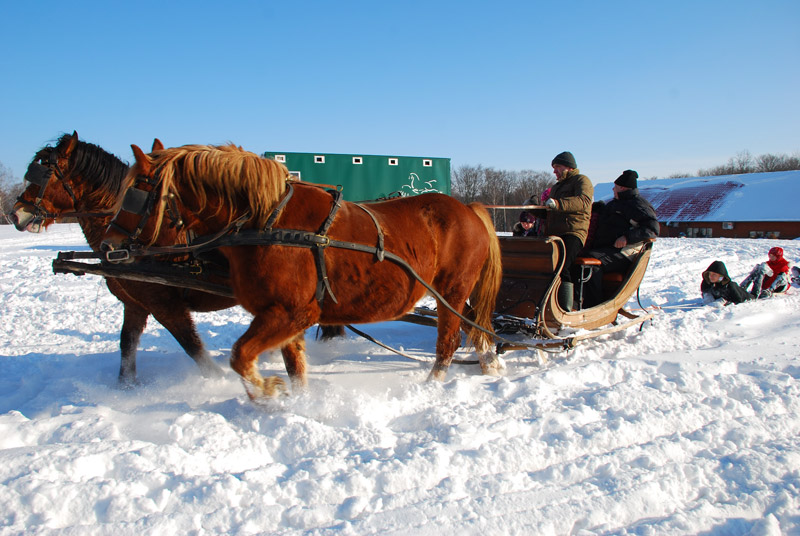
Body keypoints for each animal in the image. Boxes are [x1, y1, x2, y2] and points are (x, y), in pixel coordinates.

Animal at [8, 134, 234, 386]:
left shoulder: (166, 305)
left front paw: (220, 382)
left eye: (44, 173)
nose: (15, 214)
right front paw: (126, 387)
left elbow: (194, 349)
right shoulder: (134, 304)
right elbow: (127, 344)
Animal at [98, 144, 500, 400]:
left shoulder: (293, 312)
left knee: (448, 339)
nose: (107, 244)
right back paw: (489, 362)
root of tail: (468, 208)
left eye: (135, 193)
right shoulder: (281, 315)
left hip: (451, 290)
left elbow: (239, 356)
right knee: (473, 326)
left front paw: (266, 392)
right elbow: (295, 367)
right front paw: (301, 405)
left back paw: (431, 386)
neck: (267, 223)